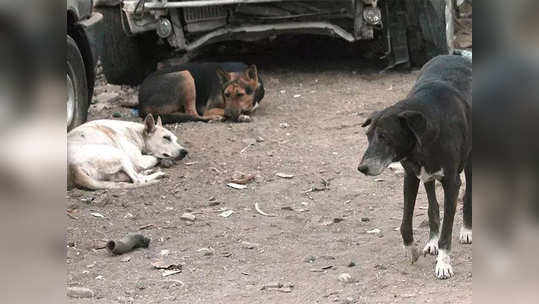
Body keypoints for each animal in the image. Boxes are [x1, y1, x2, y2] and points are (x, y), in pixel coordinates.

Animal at [358, 55, 472, 280]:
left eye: (384, 136)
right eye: (368, 136)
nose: (362, 168)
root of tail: (454, 55)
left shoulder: (452, 182)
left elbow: (447, 231)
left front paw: (443, 264)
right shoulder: (410, 176)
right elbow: (405, 223)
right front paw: (411, 249)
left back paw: (466, 230)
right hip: (426, 176)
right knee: (433, 207)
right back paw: (432, 241)